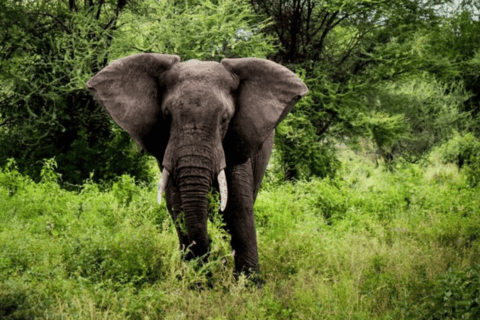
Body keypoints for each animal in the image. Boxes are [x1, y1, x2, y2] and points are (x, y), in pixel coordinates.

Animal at [86, 53, 308, 278]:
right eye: (166, 116)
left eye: (225, 119)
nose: (212, 251)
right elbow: (178, 206)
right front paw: (197, 280)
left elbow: (238, 209)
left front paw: (249, 283)